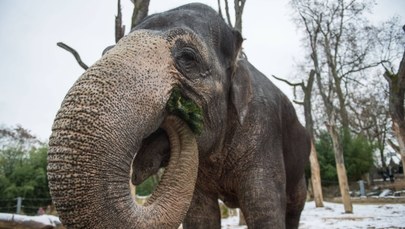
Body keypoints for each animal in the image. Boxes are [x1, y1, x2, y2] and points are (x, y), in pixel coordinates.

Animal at [46, 2, 310, 229]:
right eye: (107, 51)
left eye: (188, 57)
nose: (176, 109)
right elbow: (200, 216)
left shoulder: (263, 135)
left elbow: (265, 212)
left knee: (293, 209)